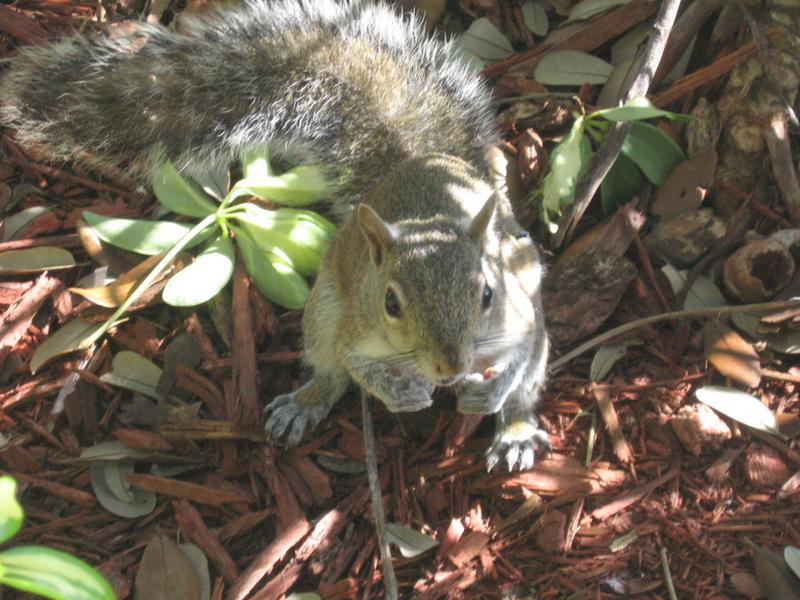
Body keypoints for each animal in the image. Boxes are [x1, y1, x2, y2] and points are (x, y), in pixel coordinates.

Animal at [0, 0, 549, 471]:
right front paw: (400, 392)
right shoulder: (357, 326)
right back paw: (304, 404)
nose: (450, 366)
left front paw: (489, 393)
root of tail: (415, 163)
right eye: (390, 303)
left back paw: (514, 429)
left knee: (528, 381)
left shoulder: (520, 319)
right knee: (330, 370)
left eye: (487, 294)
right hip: (324, 310)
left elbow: (518, 358)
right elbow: (355, 363)